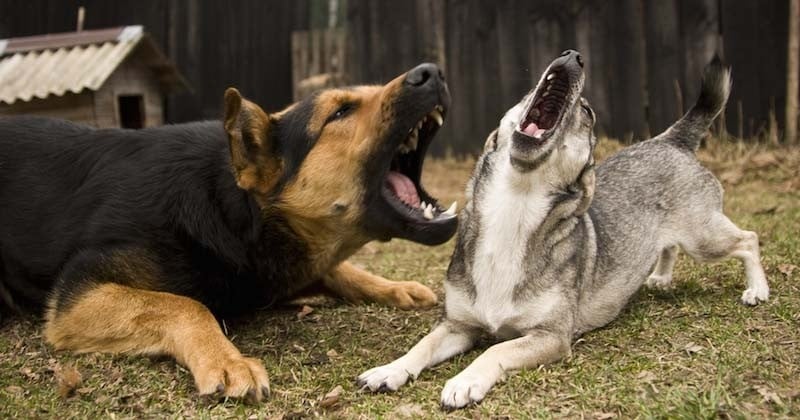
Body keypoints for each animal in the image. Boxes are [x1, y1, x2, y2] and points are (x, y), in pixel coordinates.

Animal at [1, 62, 456, 400]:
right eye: (340, 112)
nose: (432, 71)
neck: (233, 208)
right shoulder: (77, 294)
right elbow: (185, 305)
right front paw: (228, 360)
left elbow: (339, 270)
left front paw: (392, 286)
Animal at [356, 50, 768, 410]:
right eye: (525, 95)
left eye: (587, 113)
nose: (573, 56)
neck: (514, 209)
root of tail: (670, 140)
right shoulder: (456, 326)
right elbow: (421, 346)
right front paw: (389, 371)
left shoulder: (550, 338)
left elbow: (496, 349)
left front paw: (465, 381)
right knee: (669, 246)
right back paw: (660, 277)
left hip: (704, 239)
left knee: (748, 240)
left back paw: (757, 290)